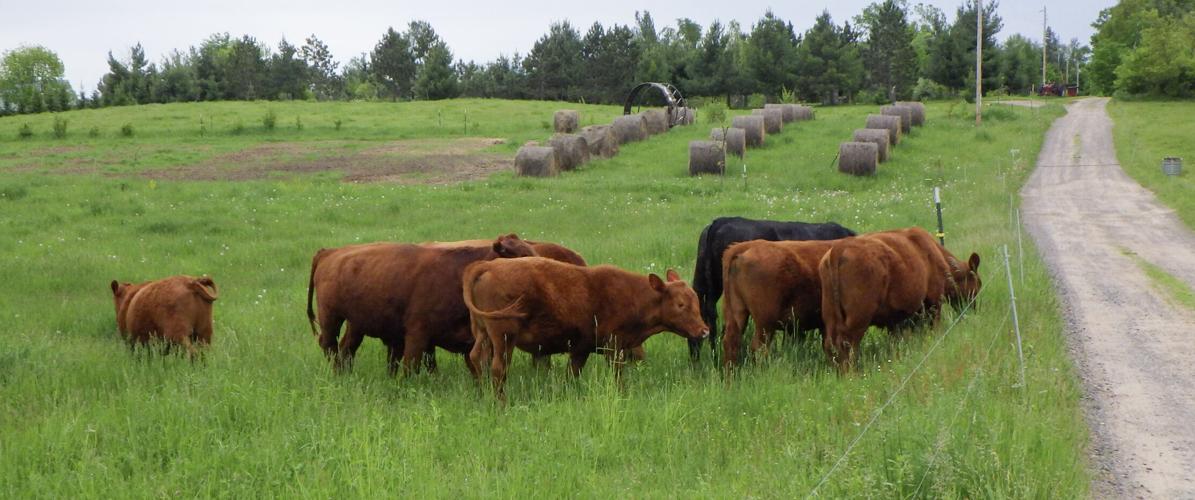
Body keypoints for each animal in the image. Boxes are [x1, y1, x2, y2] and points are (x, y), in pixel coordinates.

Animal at [306, 234, 538, 376]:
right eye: (519, 257)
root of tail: (329, 252)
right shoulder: (417, 336)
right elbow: (411, 367)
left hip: (356, 324)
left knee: (346, 349)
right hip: (331, 319)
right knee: (331, 347)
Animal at [462, 257, 709, 400]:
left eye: (696, 300)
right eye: (680, 304)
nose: (704, 331)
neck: (634, 295)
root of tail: (487, 265)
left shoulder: (580, 350)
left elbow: (572, 375)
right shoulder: (613, 347)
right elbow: (617, 376)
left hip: (483, 334)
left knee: (476, 358)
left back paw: (481, 393)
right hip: (503, 338)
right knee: (498, 368)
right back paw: (500, 402)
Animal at [819, 227, 981, 368]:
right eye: (978, 285)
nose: (972, 309)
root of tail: (839, 248)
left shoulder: (895, 319)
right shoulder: (933, 303)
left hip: (830, 315)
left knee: (830, 344)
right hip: (858, 318)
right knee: (847, 343)